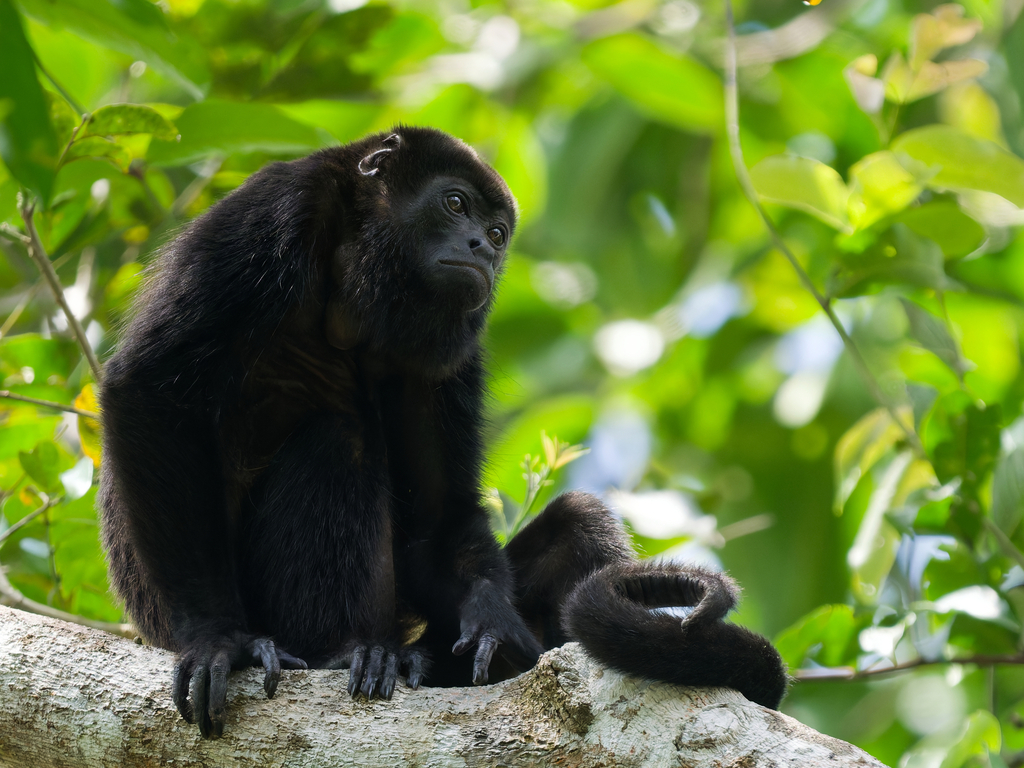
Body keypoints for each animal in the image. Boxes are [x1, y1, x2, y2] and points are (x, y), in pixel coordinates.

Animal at [98, 127, 786, 739]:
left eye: (500, 234)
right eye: (455, 204)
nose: (483, 246)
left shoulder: (455, 346)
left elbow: (439, 511)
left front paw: (489, 616)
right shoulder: (273, 213)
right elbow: (150, 389)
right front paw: (217, 638)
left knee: (581, 520)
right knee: (336, 441)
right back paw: (344, 652)